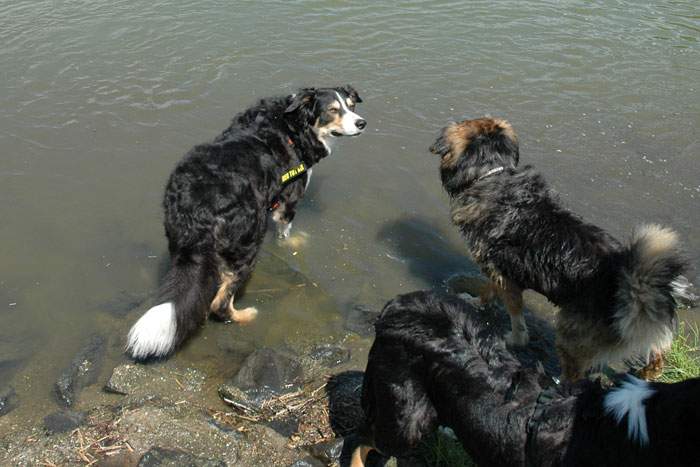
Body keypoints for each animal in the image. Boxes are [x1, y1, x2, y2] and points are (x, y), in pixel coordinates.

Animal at [126, 86, 366, 360]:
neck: (291, 126)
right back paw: (244, 316)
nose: (362, 123)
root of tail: (198, 207)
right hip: (248, 242)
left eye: (351, 106)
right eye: (333, 110)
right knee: (219, 303)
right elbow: (285, 233)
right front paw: (293, 243)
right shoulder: (288, 202)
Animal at [430, 119, 692, 382]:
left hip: (571, 335)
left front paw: (511, 336)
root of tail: (632, 289)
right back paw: (645, 375)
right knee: (657, 356)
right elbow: (489, 291)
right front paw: (476, 302)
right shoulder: (502, 272)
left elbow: (513, 313)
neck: (494, 175)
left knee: (574, 373)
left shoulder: (502, 274)